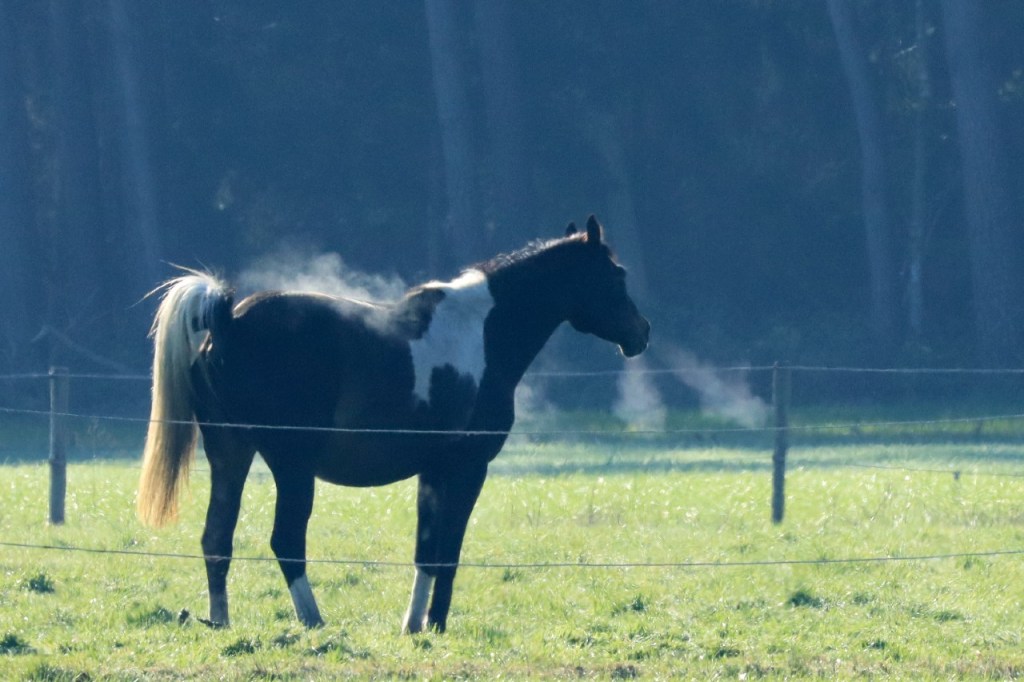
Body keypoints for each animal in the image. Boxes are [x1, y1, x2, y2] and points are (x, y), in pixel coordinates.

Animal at [136, 215, 650, 633]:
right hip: (291, 466)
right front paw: (437, 624)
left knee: (216, 538)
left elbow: (425, 551)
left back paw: (221, 621)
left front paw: (414, 625)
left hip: (230, 455)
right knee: (286, 540)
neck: (481, 333)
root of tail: (229, 320)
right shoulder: (467, 468)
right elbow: (448, 552)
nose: (641, 333)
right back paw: (313, 620)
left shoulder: (432, 472)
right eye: (616, 275)